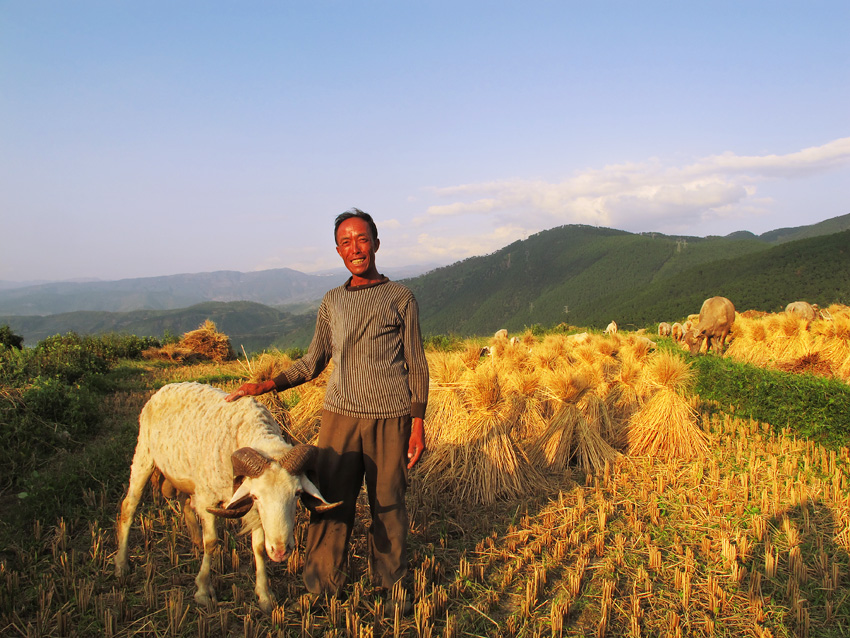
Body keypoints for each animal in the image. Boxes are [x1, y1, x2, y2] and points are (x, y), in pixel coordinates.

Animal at [115, 382, 338, 612]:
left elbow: (259, 548)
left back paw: (195, 539)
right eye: (256, 496)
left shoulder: (255, 514)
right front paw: (203, 591)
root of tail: (166, 388)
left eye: (297, 493)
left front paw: (264, 595)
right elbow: (212, 542)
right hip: (144, 456)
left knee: (184, 501)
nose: (280, 551)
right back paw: (121, 565)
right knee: (129, 507)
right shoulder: (209, 500)